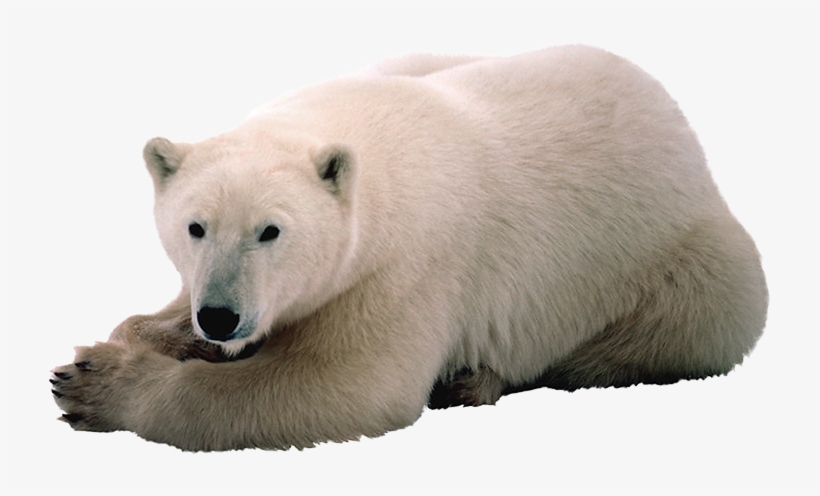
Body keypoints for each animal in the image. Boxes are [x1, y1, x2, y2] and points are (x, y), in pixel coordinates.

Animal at [51, 46, 768, 451]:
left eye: (271, 230)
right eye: (195, 227)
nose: (221, 317)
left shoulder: (406, 267)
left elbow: (347, 385)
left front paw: (93, 385)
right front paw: (151, 336)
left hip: (685, 263)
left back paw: (473, 378)